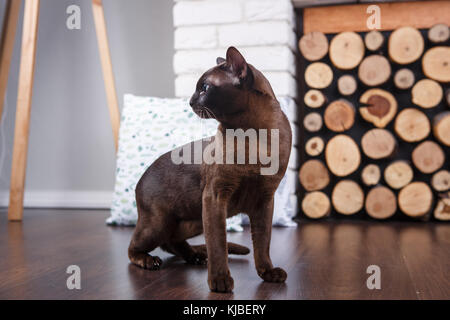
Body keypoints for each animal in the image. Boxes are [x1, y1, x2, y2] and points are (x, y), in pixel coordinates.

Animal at [128, 47, 294, 292]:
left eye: (204, 88)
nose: (189, 101)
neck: (254, 137)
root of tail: (140, 180)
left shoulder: (264, 201)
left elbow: (262, 244)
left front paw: (268, 273)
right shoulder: (215, 196)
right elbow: (218, 244)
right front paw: (220, 282)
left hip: (193, 220)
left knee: (173, 242)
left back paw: (195, 257)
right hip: (159, 223)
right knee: (135, 247)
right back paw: (150, 261)